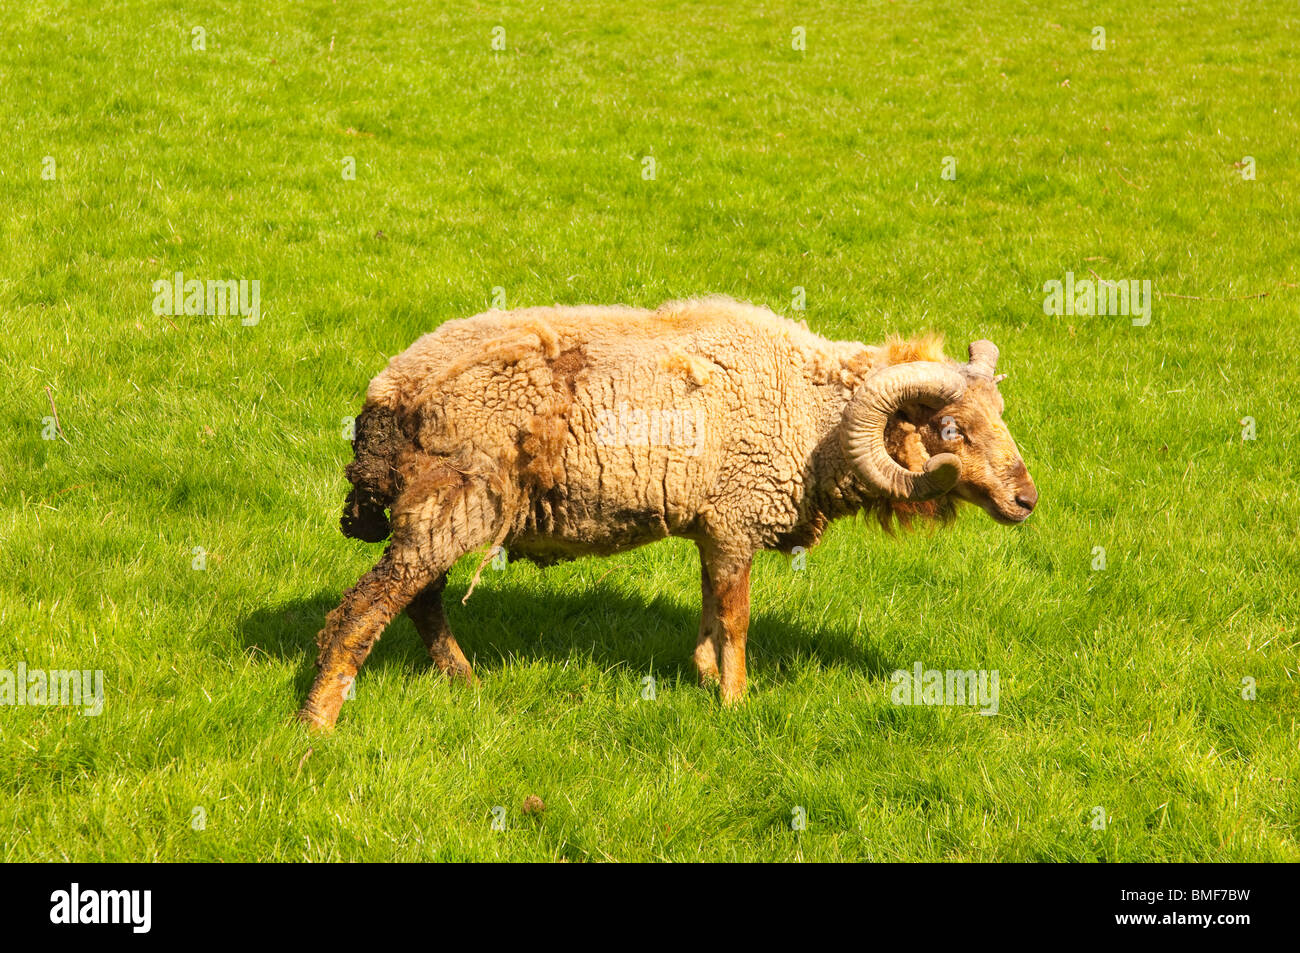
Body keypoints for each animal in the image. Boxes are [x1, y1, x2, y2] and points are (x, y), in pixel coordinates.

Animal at [297, 297, 1034, 728]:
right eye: (951, 430)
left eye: (998, 414)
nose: (1027, 499)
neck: (810, 411)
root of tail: (384, 396)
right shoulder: (737, 518)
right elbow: (737, 619)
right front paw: (736, 704)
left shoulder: (714, 526)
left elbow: (711, 608)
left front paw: (705, 676)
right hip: (454, 499)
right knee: (368, 606)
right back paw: (317, 721)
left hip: (445, 505)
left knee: (420, 599)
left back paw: (463, 679)